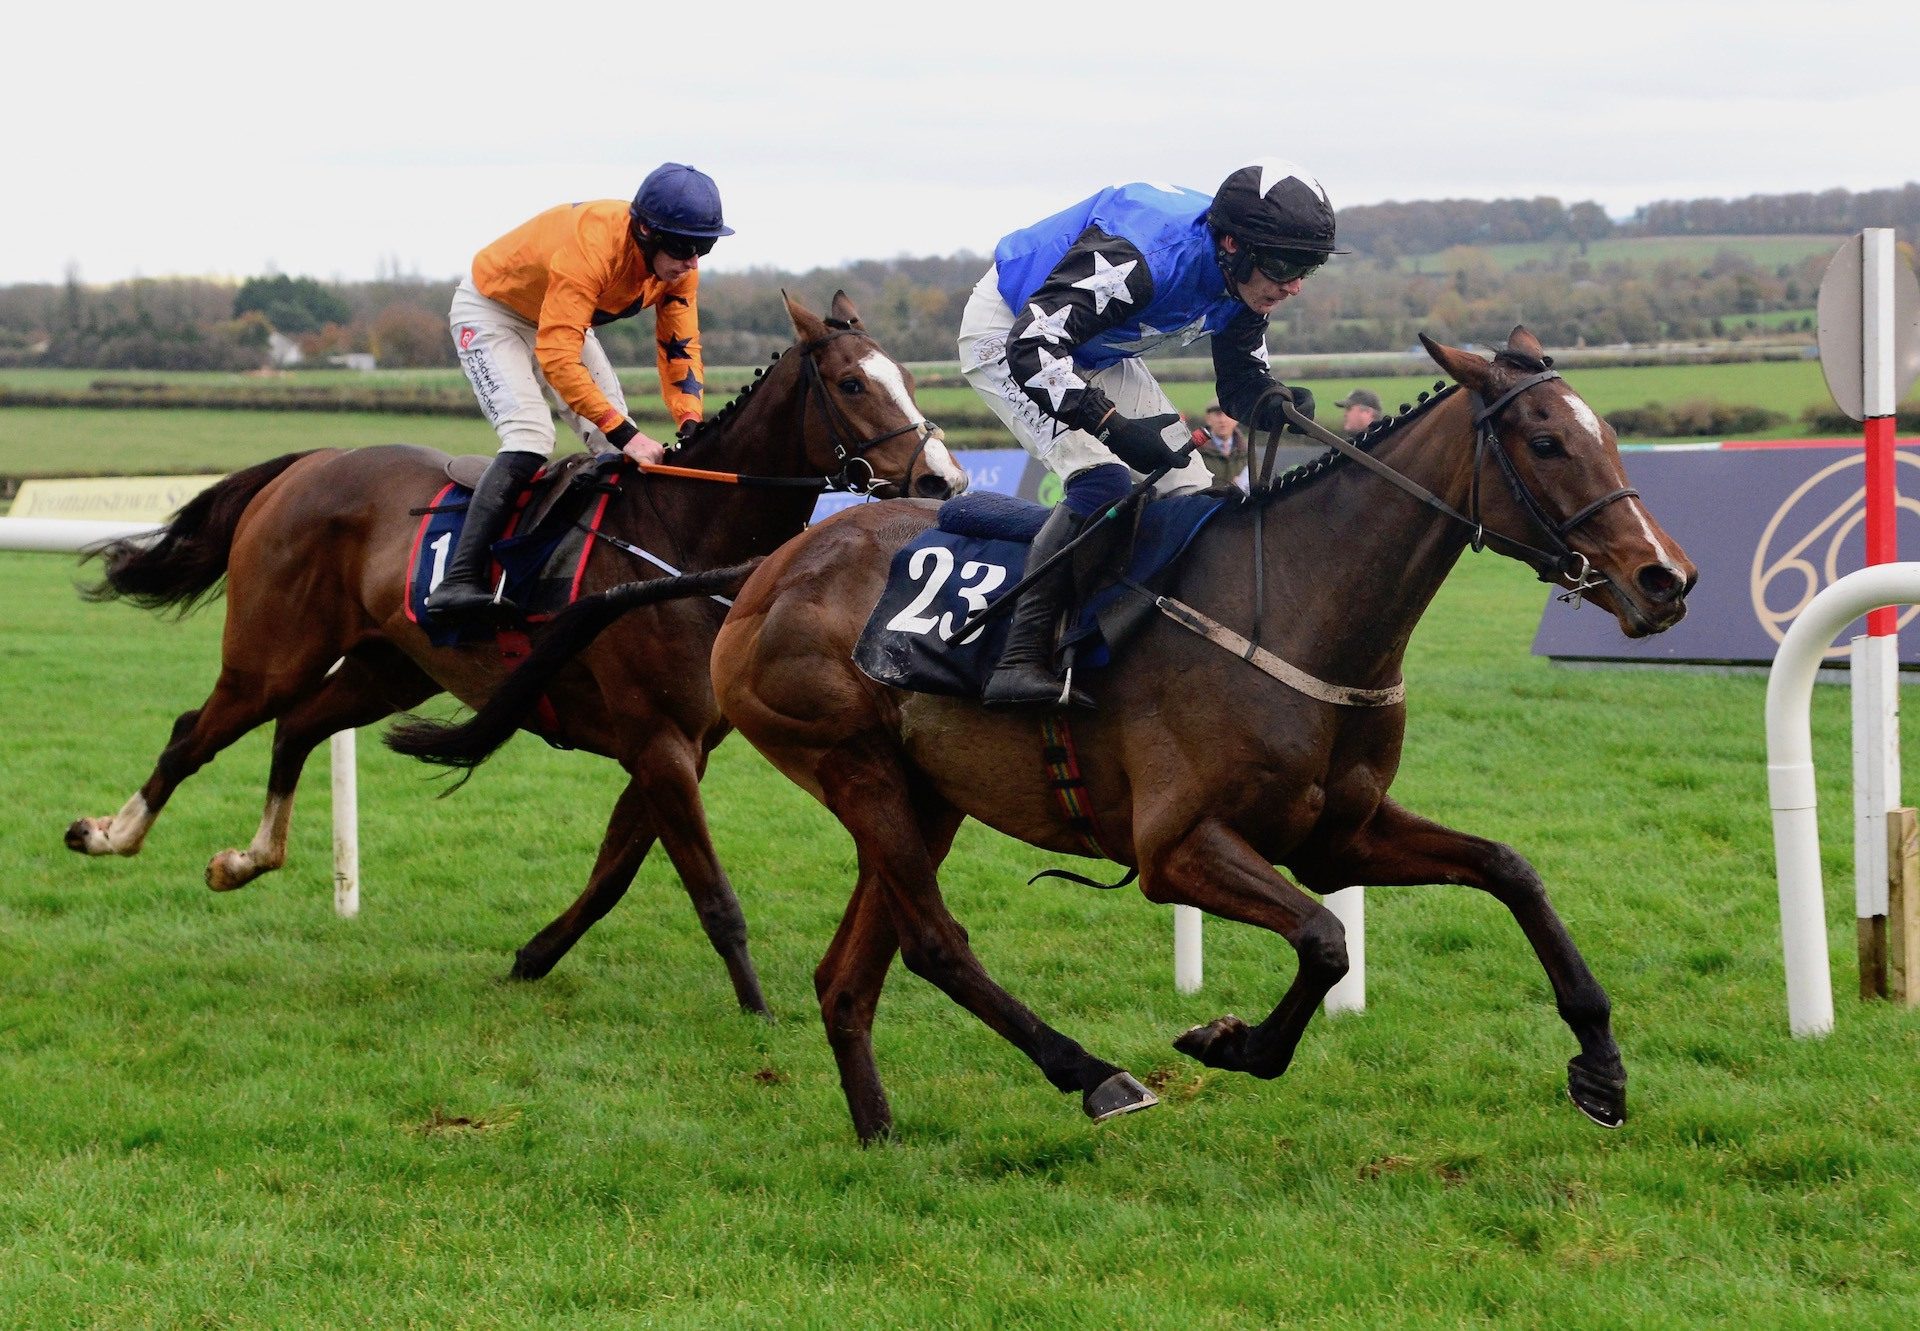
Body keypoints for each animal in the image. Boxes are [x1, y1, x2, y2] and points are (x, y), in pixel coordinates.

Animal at [67, 288, 967, 1006]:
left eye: (908, 376)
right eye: (852, 383)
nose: (945, 481)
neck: (682, 535)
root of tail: (309, 462)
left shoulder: (682, 744)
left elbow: (613, 873)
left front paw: (532, 957)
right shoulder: (659, 741)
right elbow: (712, 895)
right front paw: (760, 1016)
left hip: (388, 668)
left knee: (298, 728)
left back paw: (246, 858)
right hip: (271, 653)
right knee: (195, 732)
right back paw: (111, 834)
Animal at [397, 326, 1689, 1137]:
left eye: (1609, 435)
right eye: (1547, 442)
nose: (1663, 579)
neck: (1298, 605)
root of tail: (767, 567)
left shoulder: (1343, 829)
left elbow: (1511, 871)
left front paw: (1601, 1064)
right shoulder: (1180, 849)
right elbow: (1325, 940)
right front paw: (1228, 1041)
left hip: (924, 792)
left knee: (848, 972)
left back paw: (879, 1130)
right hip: (849, 761)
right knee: (932, 943)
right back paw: (1092, 1074)